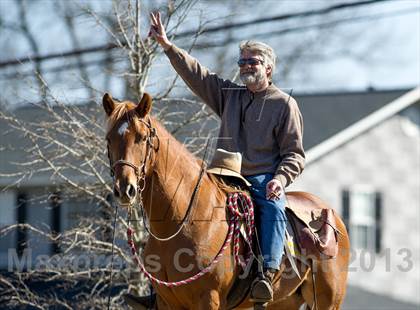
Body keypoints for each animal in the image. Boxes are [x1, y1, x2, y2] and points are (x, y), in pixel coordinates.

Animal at [103, 92, 350, 310]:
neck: (183, 220)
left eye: (142, 138)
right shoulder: (167, 302)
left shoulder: (209, 298)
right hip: (284, 302)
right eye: (109, 139)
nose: (125, 189)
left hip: (328, 301)